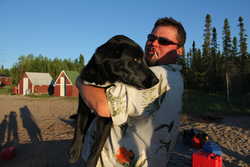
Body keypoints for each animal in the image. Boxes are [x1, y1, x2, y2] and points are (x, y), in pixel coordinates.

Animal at [68, 34, 158, 166]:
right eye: (135, 60)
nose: (156, 81)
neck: (103, 80)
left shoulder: (107, 118)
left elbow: (97, 146)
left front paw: (90, 162)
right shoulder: (83, 104)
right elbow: (79, 128)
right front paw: (74, 151)